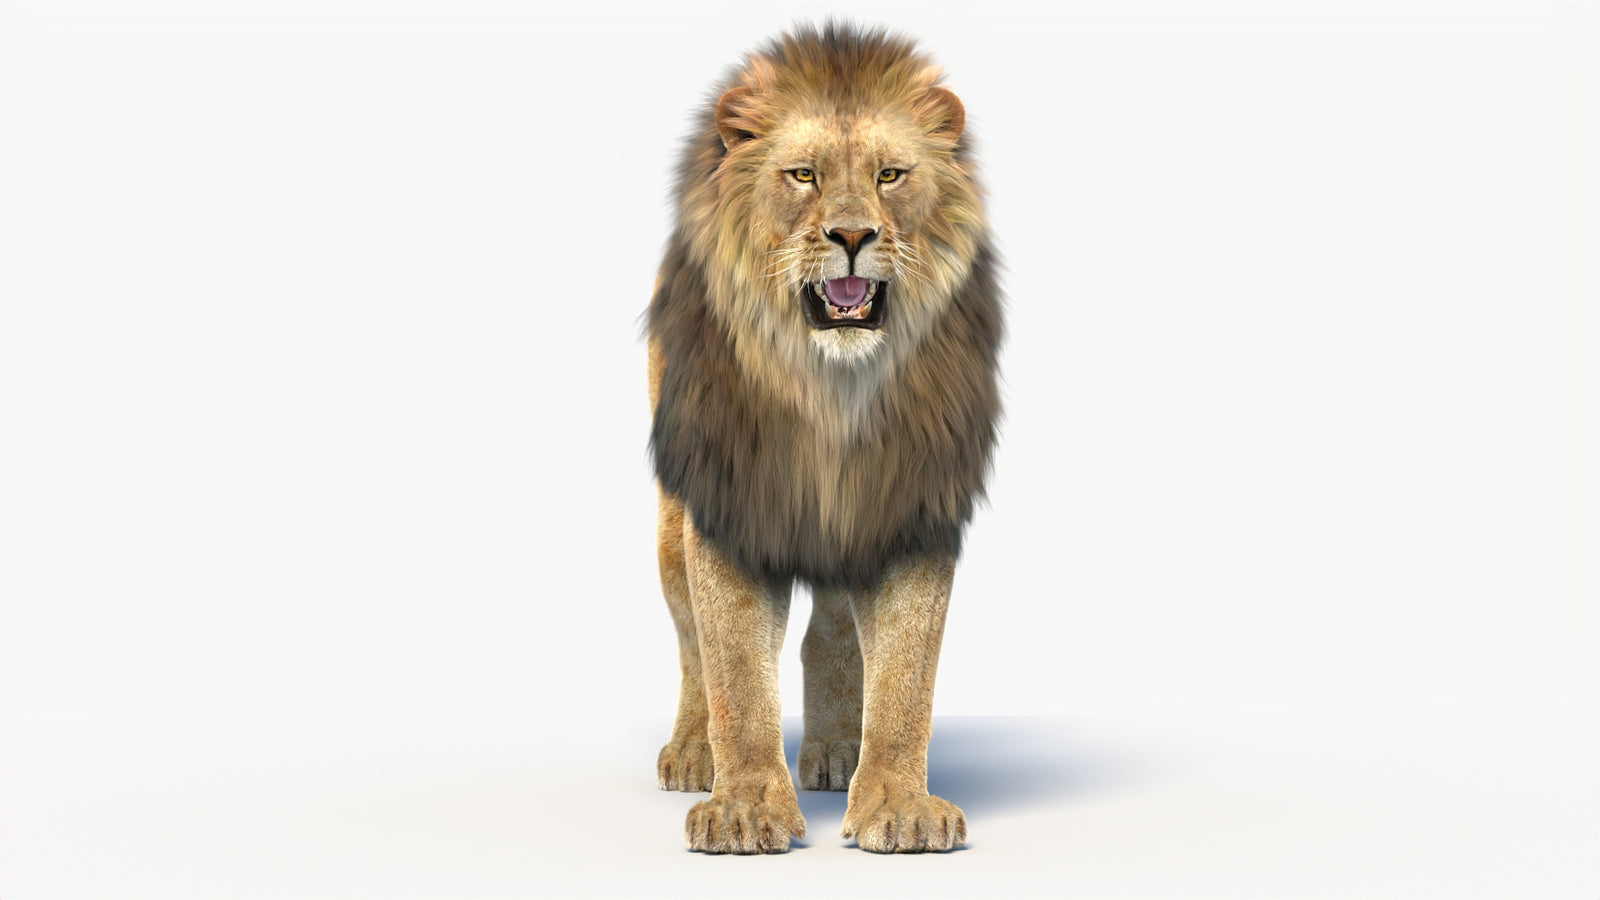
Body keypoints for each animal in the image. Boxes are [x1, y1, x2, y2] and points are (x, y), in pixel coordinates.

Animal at [646, 23, 1001, 854]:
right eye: (803, 176)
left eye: (890, 175)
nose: (852, 234)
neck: (832, 395)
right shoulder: (729, 506)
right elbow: (736, 674)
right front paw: (742, 809)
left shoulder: (911, 504)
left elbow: (905, 673)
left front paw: (900, 806)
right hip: (671, 530)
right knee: (690, 642)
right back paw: (691, 752)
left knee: (832, 632)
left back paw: (838, 750)